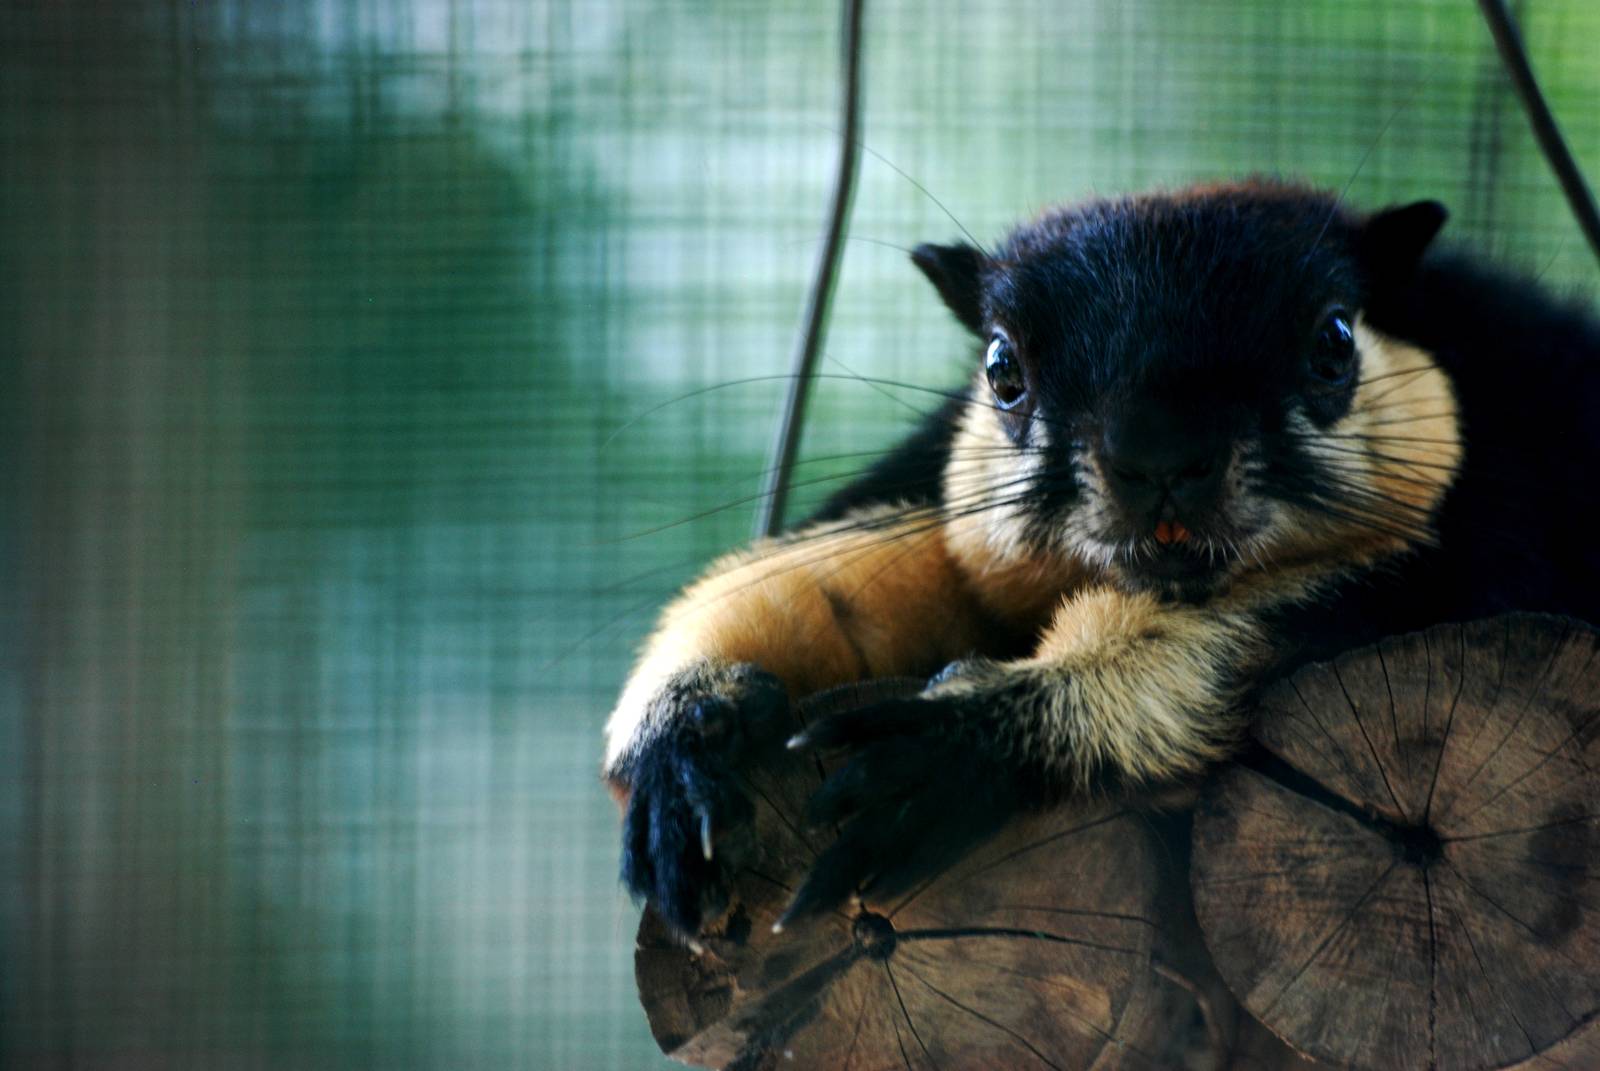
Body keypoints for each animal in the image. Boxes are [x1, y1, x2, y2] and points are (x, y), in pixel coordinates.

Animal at [600, 179, 1600, 938]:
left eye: (1334, 342)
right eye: (1001, 368)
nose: (1160, 455)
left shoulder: (1482, 550)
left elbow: (1261, 633)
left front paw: (960, 744)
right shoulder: (930, 488)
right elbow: (823, 577)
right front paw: (685, 739)